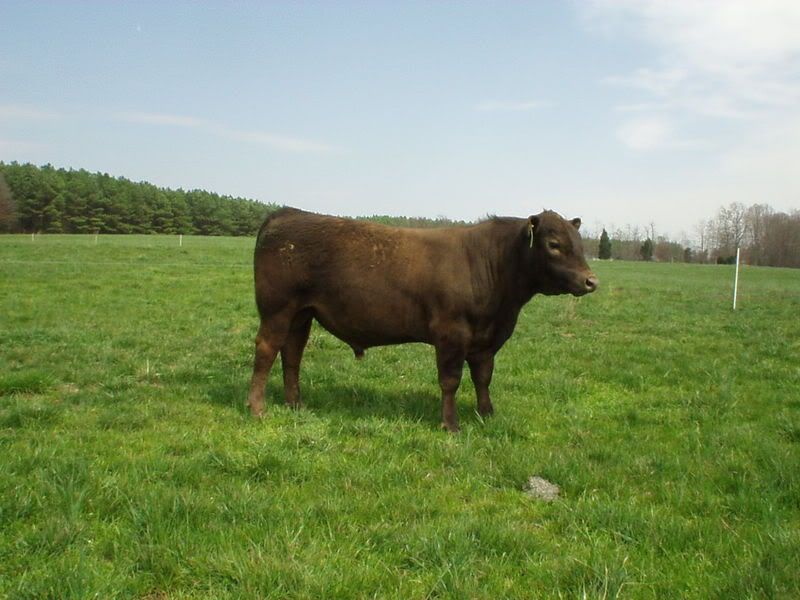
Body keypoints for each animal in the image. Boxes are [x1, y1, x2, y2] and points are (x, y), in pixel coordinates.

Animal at [248, 208, 598, 432]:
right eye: (553, 245)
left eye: (580, 244)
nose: (590, 281)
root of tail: (287, 213)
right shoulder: (451, 335)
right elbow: (451, 381)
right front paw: (451, 424)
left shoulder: (487, 341)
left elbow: (483, 378)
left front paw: (487, 414)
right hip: (277, 310)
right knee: (266, 351)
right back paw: (257, 409)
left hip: (301, 314)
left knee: (292, 355)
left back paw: (296, 404)